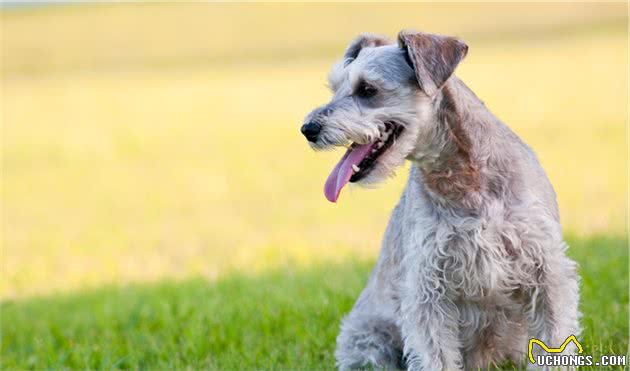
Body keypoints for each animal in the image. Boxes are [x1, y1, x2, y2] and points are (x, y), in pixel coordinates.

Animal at [302, 30, 584, 370]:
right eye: (335, 88)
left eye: (367, 89)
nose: (308, 129)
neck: (466, 180)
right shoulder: (428, 289)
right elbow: (436, 356)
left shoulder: (546, 272)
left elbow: (553, 339)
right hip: (368, 341)